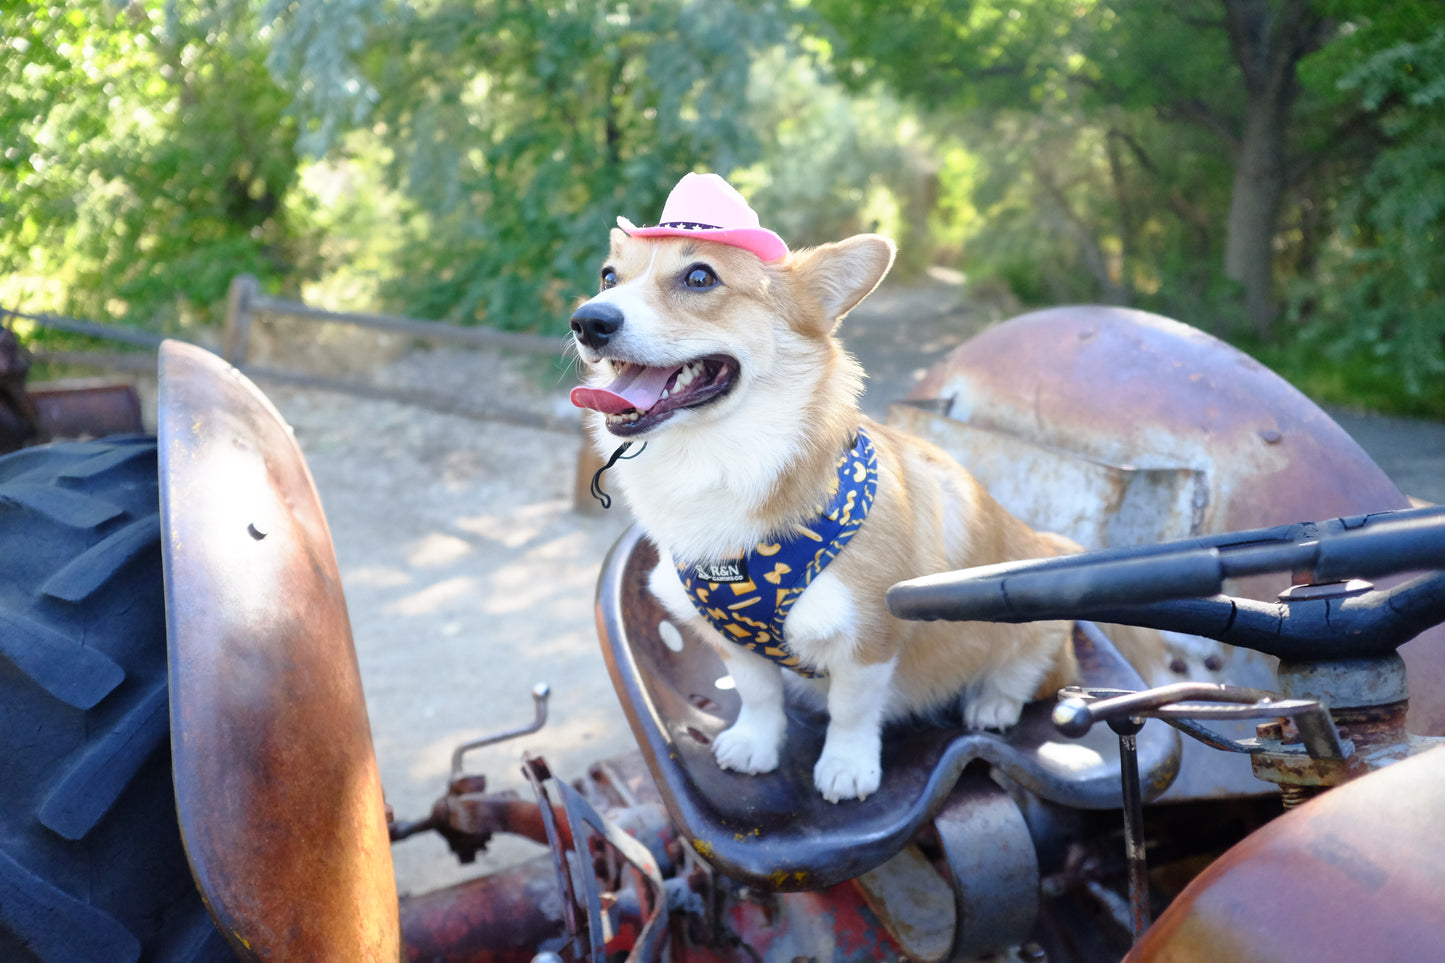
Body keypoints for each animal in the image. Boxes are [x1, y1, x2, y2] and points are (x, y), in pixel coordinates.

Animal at [566, 168, 1161, 798]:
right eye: (608, 277)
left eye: (700, 277)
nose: (588, 320)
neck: (723, 458)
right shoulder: (730, 639)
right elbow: (757, 693)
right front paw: (754, 745)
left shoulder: (870, 638)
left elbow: (851, 710)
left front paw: (846, 767)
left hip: (1041, 629)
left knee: (1022, 678)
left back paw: (991, 705)